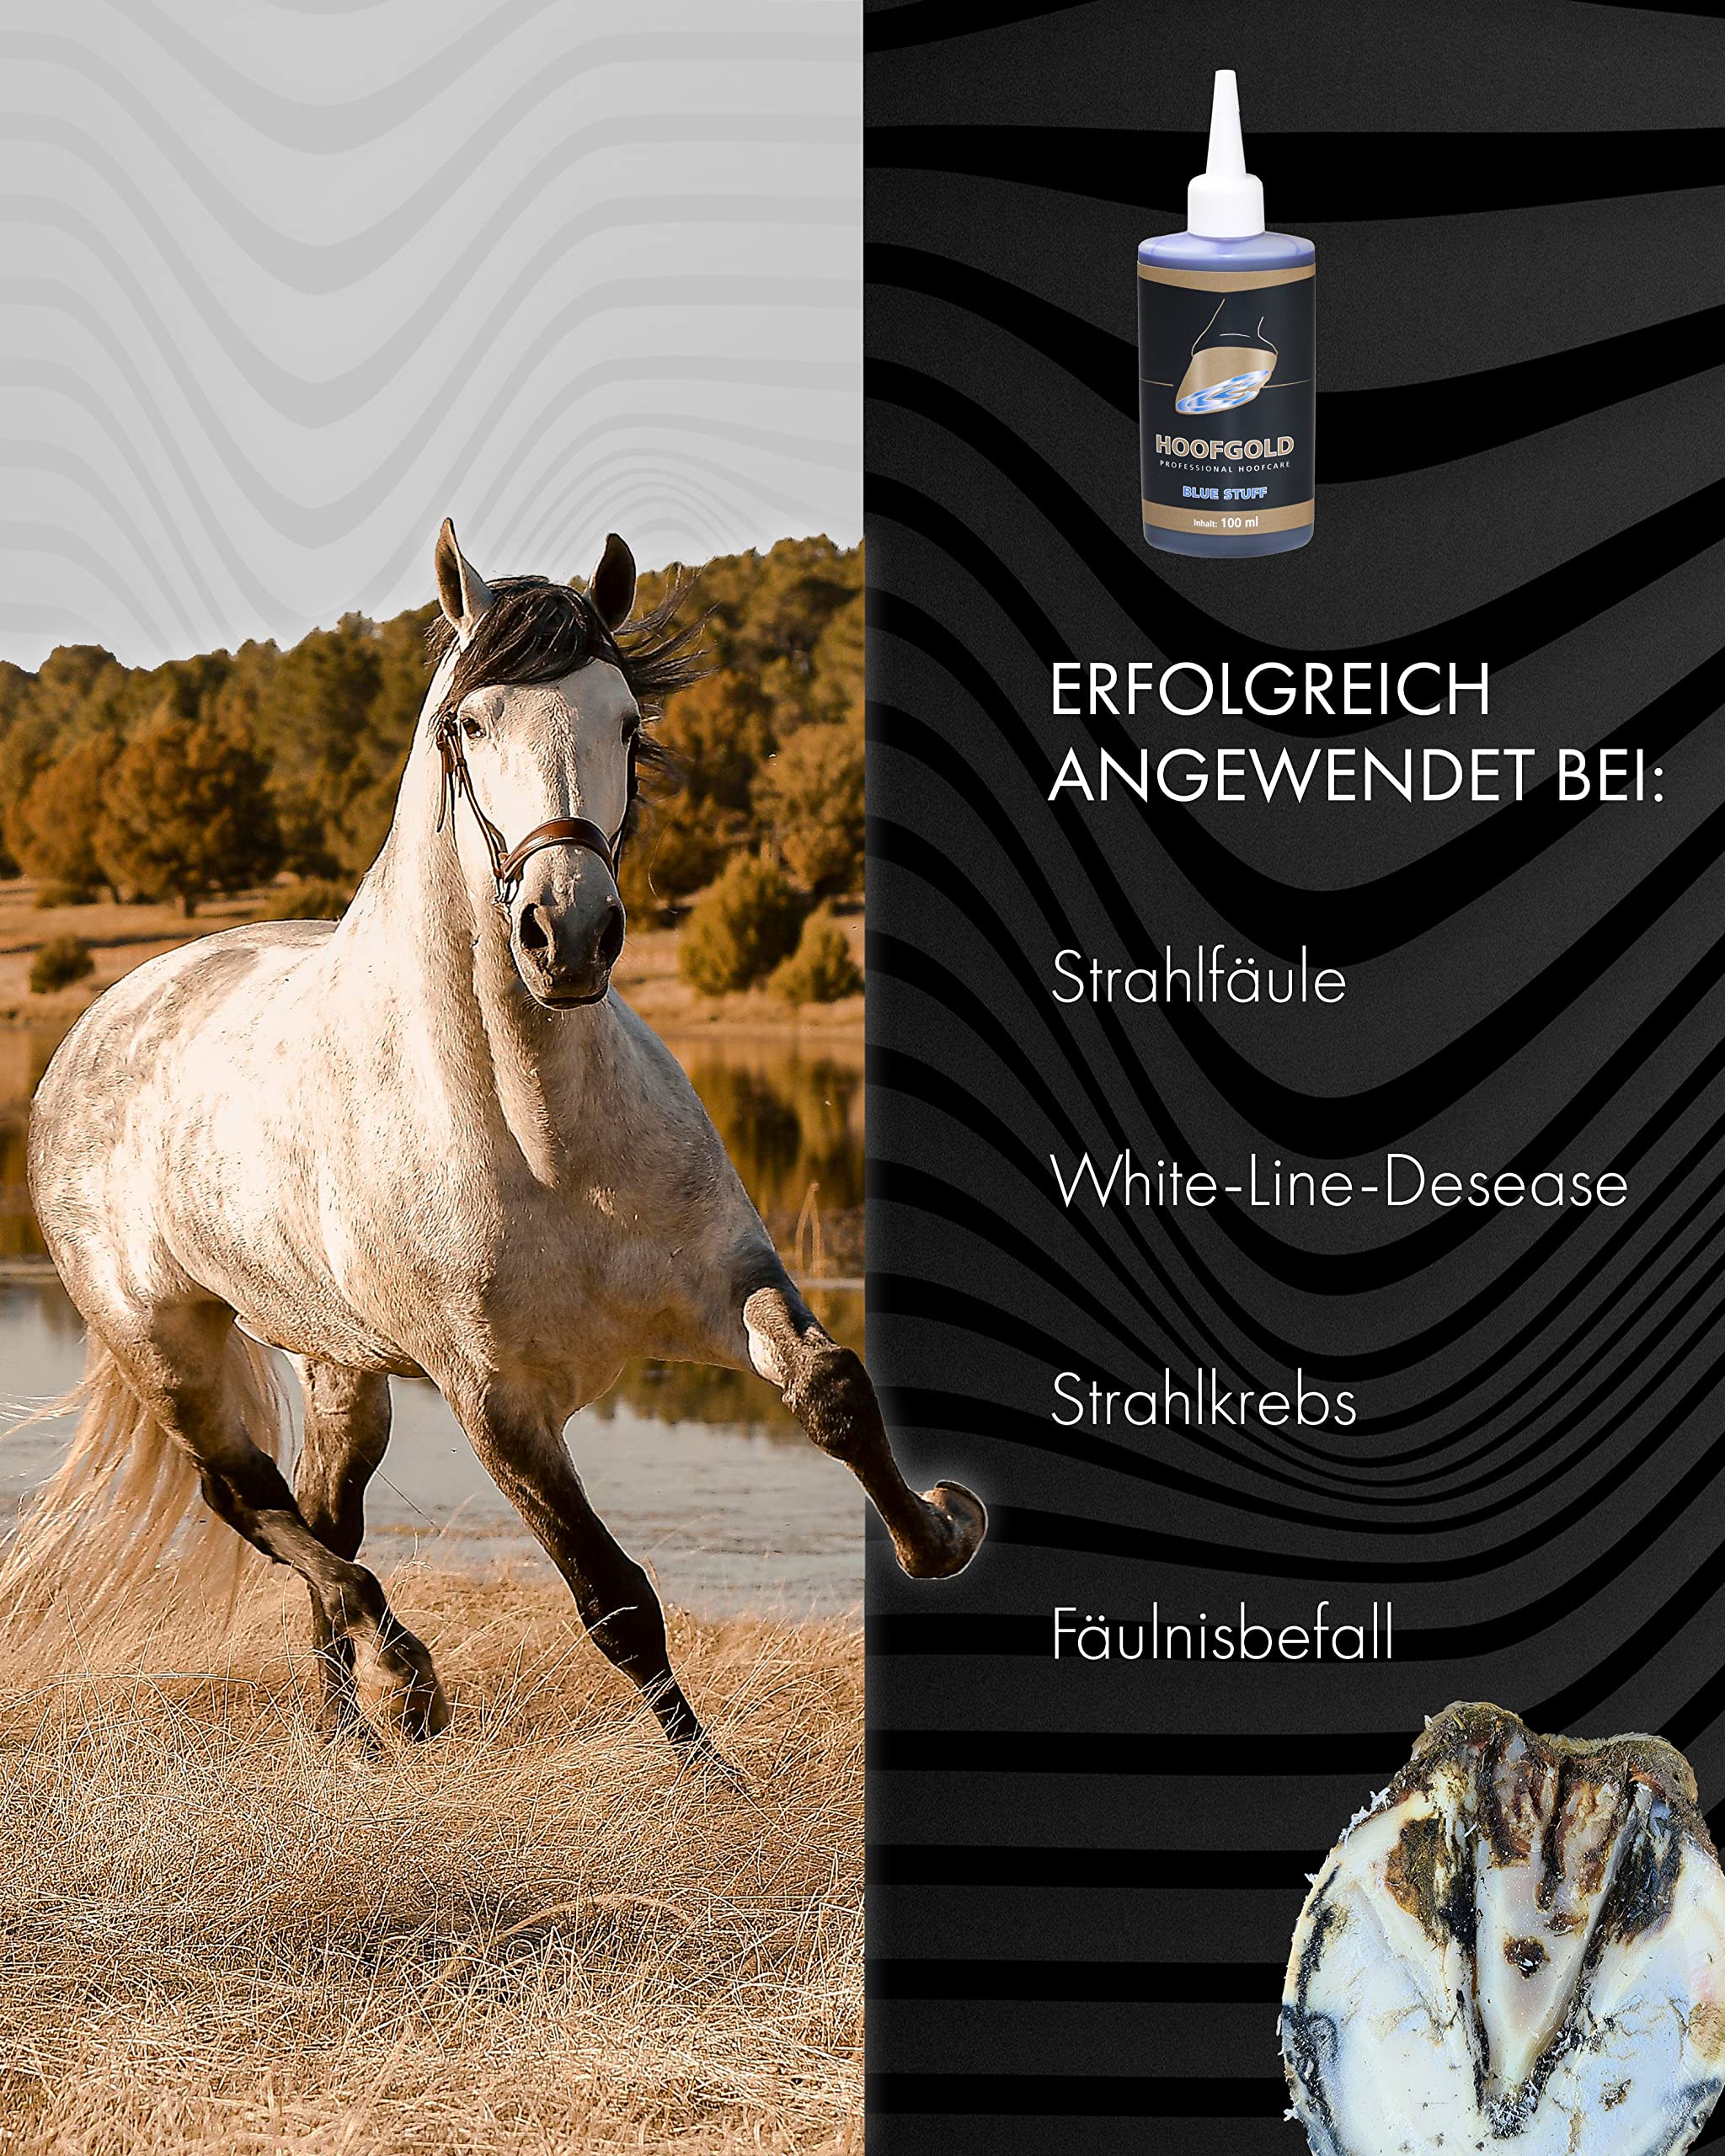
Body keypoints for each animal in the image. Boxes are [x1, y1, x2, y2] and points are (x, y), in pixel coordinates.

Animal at [13, 519, 985, 1758]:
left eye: (626, 721)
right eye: (468, 726)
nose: (566, 932)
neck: (541, 1135)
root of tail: (100, 1020)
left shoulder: (725, 1283)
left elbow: (831, 1388)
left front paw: (939, 1532)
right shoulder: (497, 1403)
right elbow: (615, 1601)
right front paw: (719, 1787)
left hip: (340, 1363)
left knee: (324, 1511)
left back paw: (350, 1734)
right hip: (166, 1345)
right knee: (249, 1501)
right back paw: (404, 1680)